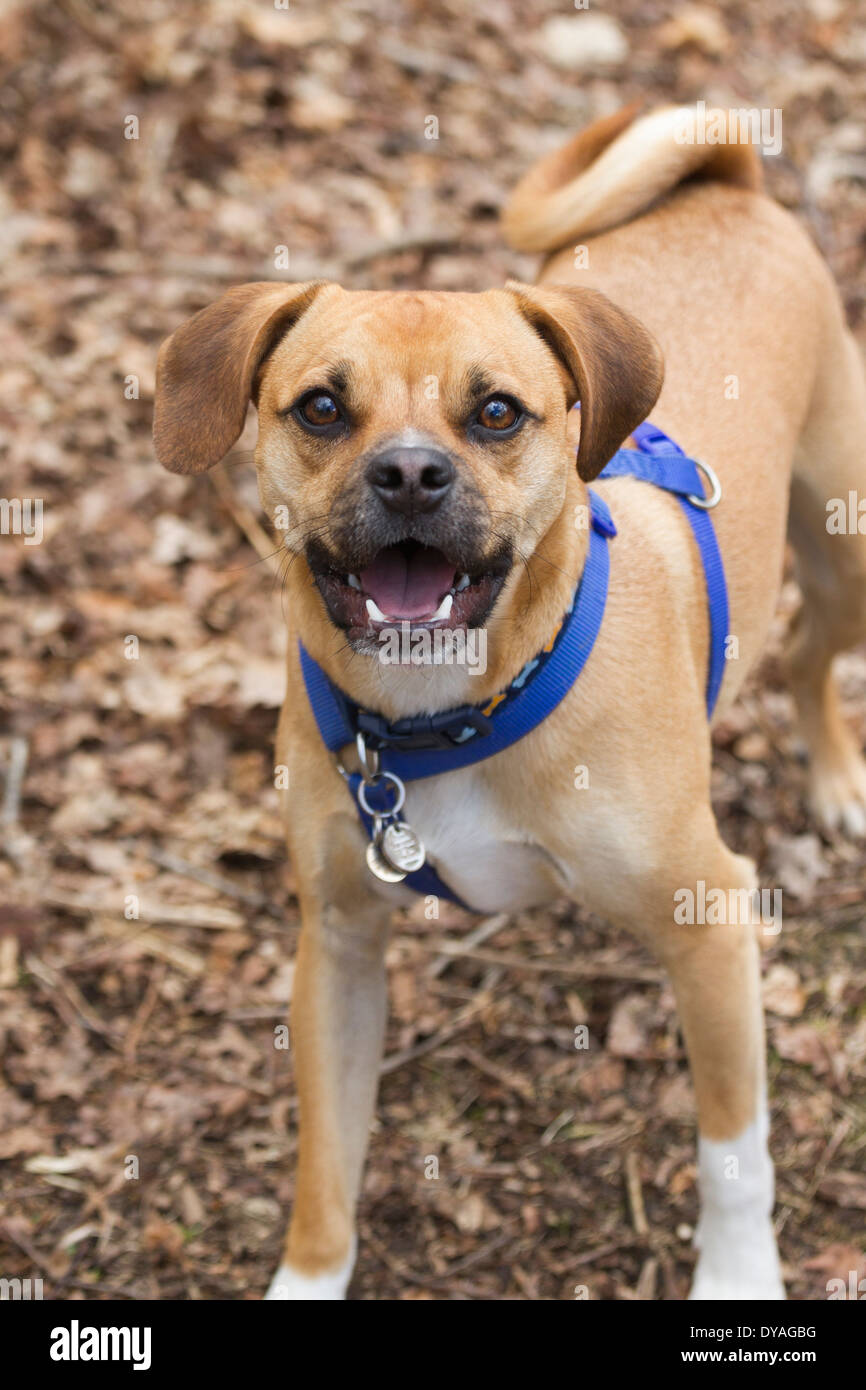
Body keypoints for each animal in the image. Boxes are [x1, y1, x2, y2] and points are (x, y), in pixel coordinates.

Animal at [152, 102, 866, 1295]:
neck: (448, 710)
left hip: (844, 543)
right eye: (321, 407)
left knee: (812, 649)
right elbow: (324, 1170)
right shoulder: (338, 949)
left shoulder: (711, 922)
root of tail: (727, 185)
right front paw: (307, 1278)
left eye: (494, 412)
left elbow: (732, 1147)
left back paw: (837, 777)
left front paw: (737, 1278)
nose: (406, 474)